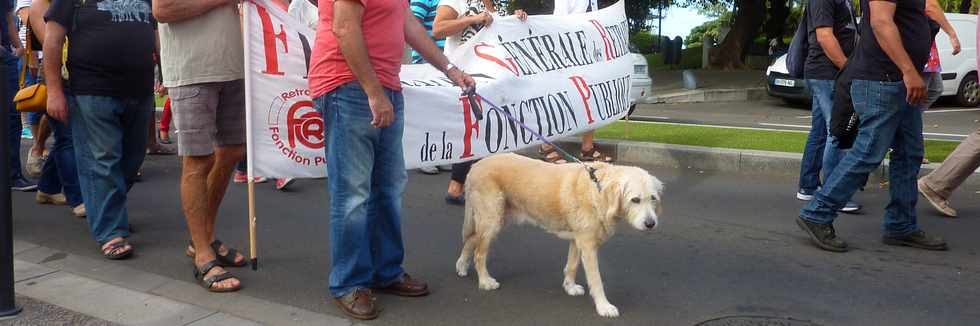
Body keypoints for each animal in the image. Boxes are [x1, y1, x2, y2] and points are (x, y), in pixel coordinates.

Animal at [460, 153, 668, 318]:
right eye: (635, 200)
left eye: (653, 198)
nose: (651, 224)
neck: (598, 190)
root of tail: (474, 166)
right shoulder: (588, 245)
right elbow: (596, 280)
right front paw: (603, 306)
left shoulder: (578, 240)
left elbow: (572, 265)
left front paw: (569, 287)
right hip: (492, 221)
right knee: (479, 253)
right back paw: (485, 281)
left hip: (494, 220)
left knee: (471, 239)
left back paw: (461, 265)